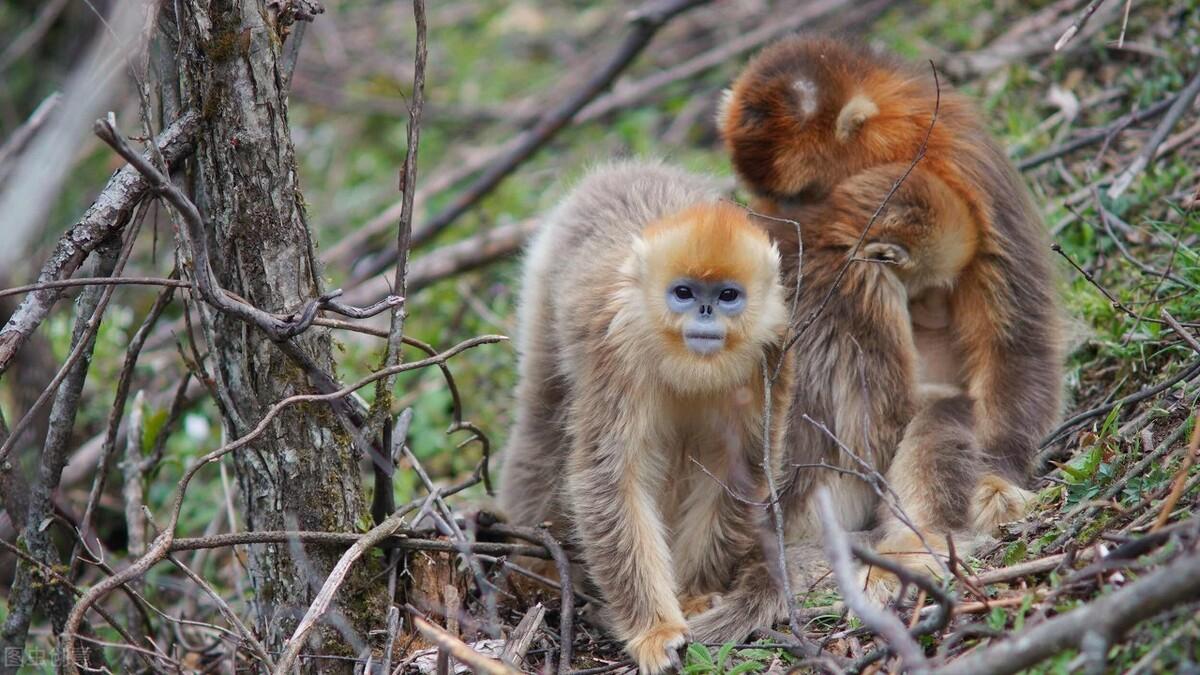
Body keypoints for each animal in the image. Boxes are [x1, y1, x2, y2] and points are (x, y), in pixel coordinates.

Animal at [499, 159, 796, 667]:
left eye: (727, 295)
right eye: (684, 292)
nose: (704, 311)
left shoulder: (771, 351)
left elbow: (739, 471)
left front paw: (693, 595)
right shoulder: (617, 349)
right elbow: (610, 479)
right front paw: (655, 629)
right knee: (542, 418)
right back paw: (534, 567)